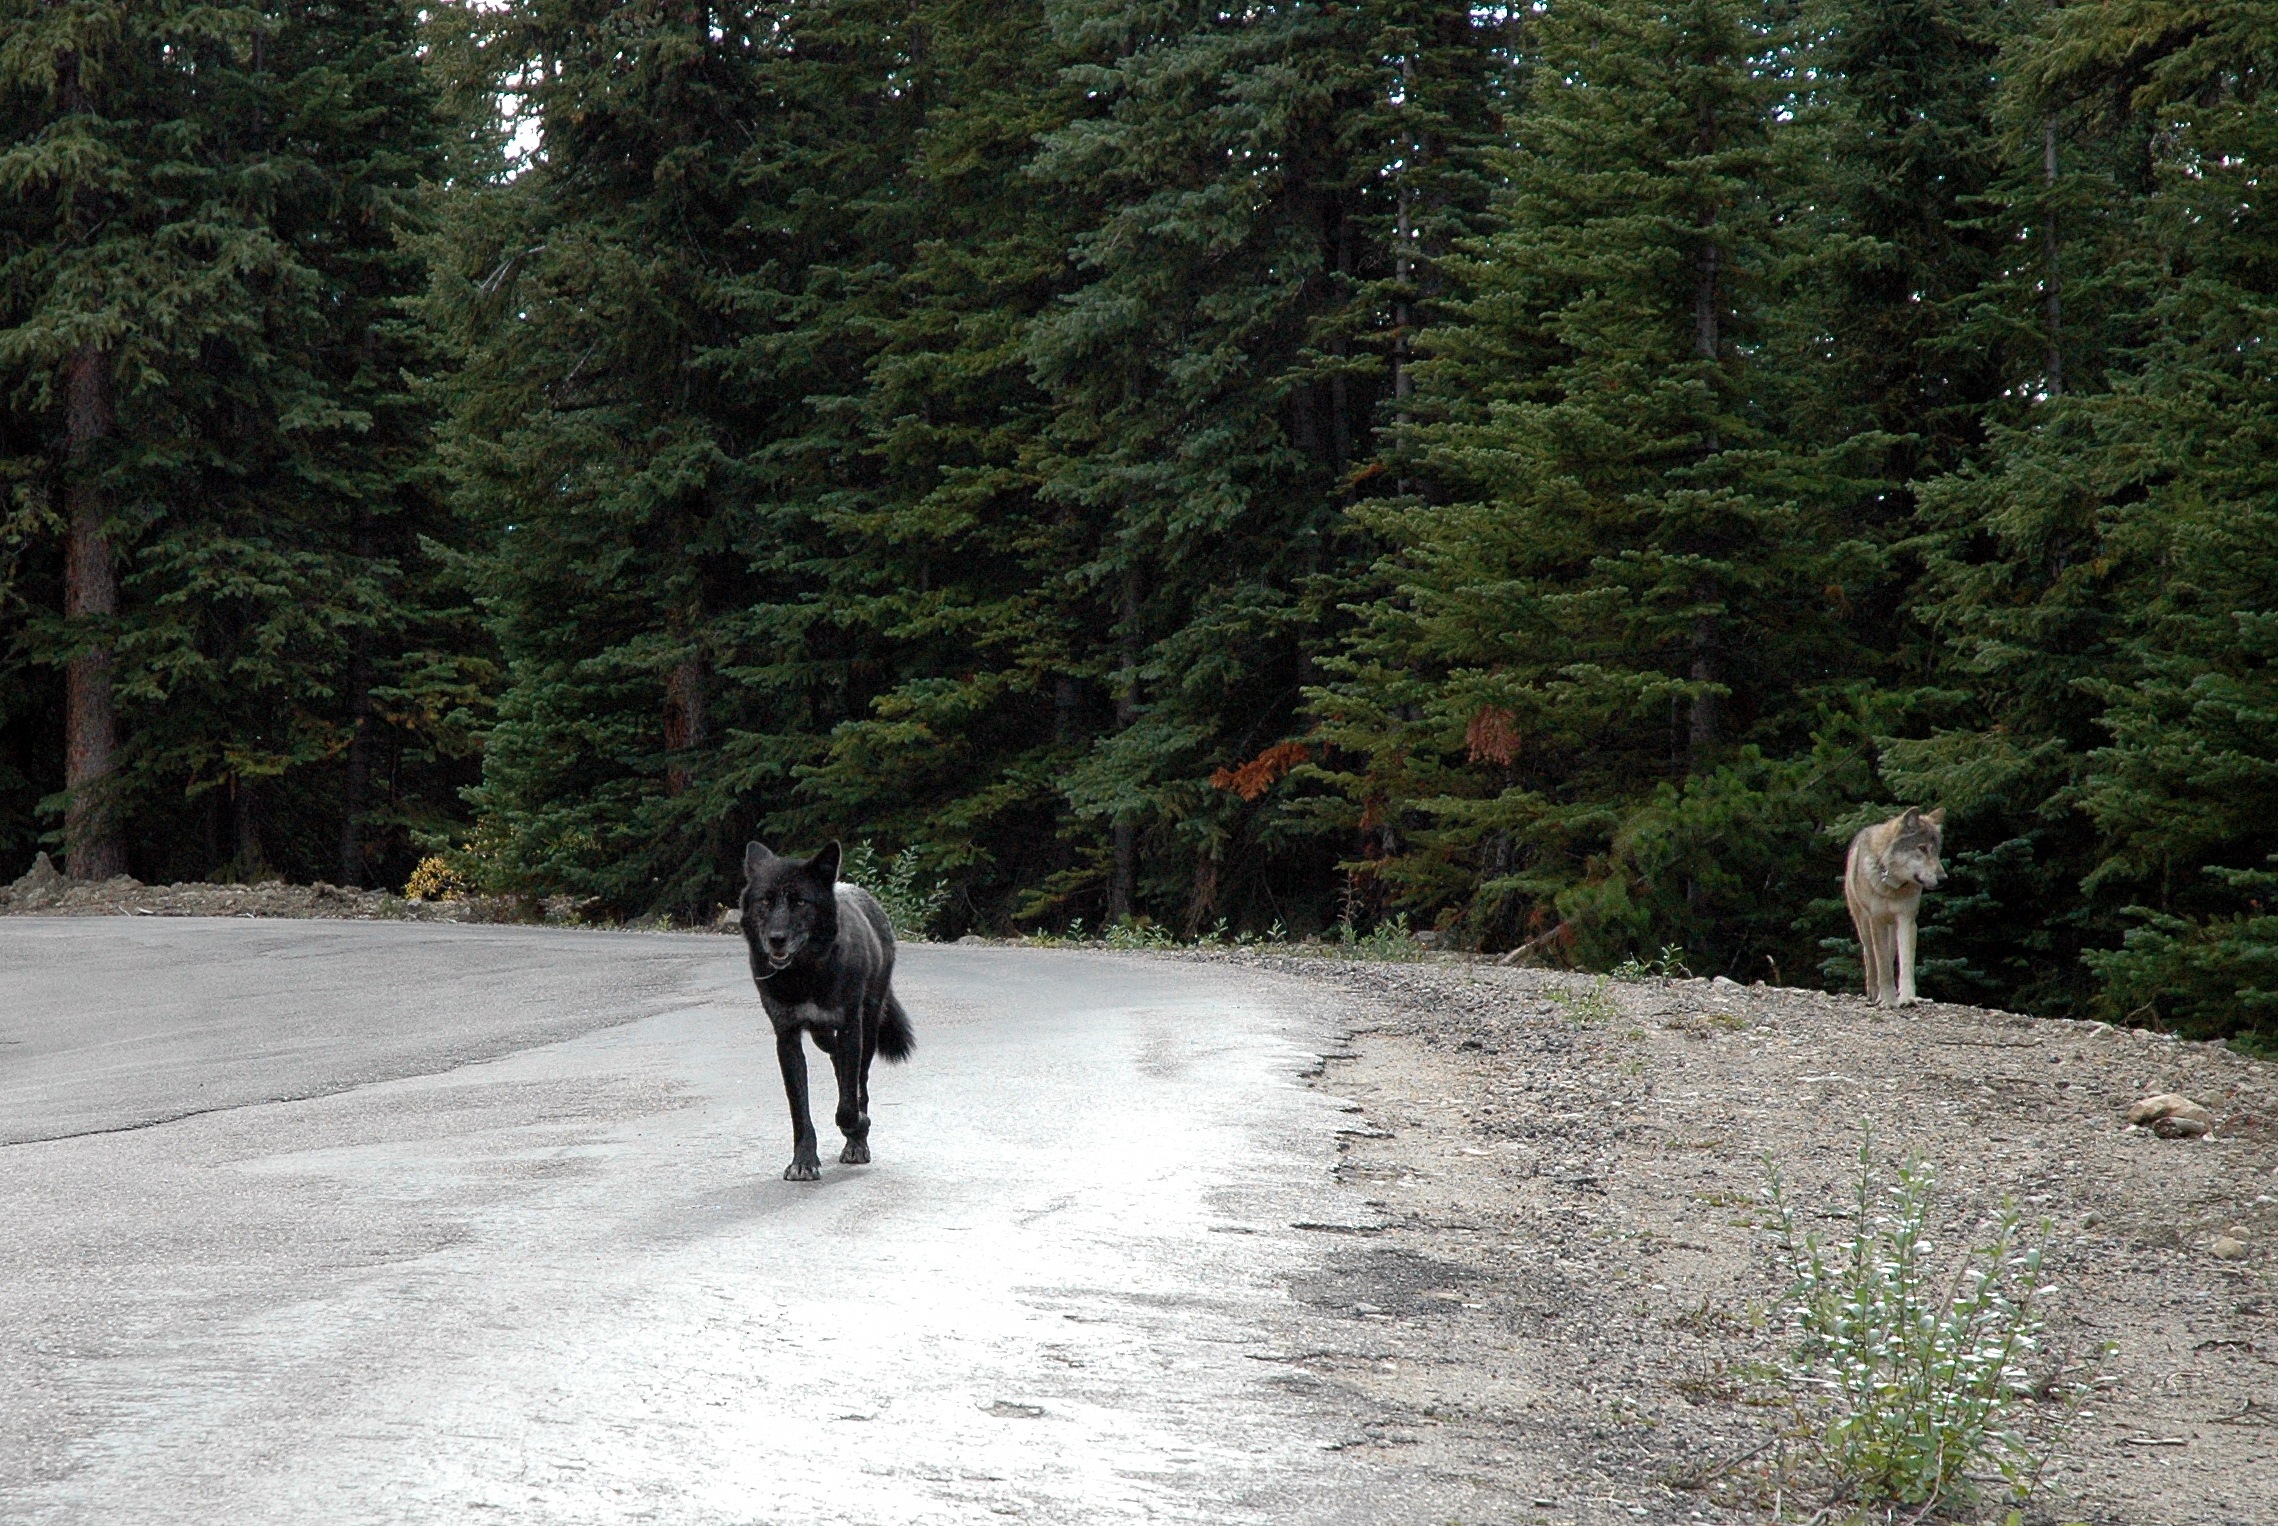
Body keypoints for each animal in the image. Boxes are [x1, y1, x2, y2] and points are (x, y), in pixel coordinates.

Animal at [740, 841, 915, 1180]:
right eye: (765, 900)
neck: (804, 976)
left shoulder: (850, 1027)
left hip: (868, 1026)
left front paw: (859, 1128)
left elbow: (847, 1107)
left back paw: (857, 1141)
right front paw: (803, 1160)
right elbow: (799, 1110)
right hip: (822, 1034)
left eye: (799, 902)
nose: (776, 939)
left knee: (858, 1081)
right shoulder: (787, 1038)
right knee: (837, 1060)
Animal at [1844, 807, 1945, 1007]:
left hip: (1892, 928)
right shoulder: (1877, 921)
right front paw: (1889, 1000)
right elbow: (1882, 965)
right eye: (1922, 848)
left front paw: (1907, 998)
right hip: (1864, 925)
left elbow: (1905, 963)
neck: (1892, 887)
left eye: (1937, 851)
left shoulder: (1907, 920)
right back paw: (1875, 994)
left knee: (1891, 956)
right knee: (1870, 957)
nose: (1943, 878)